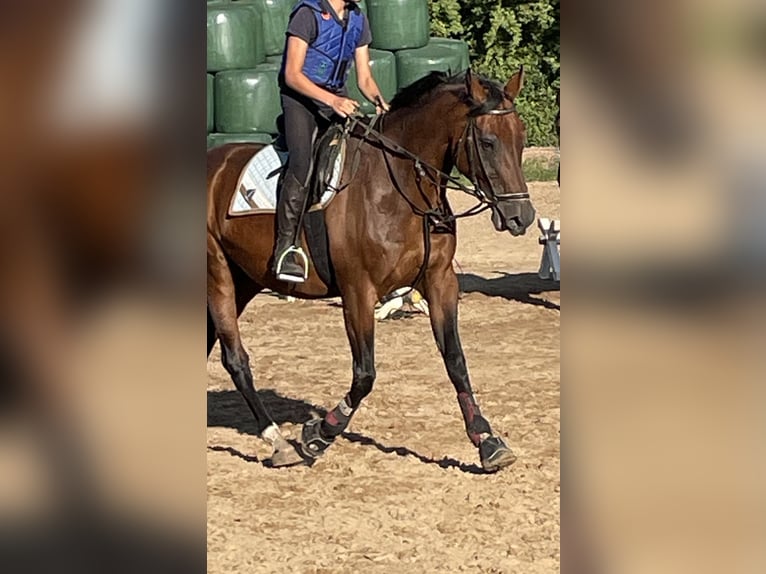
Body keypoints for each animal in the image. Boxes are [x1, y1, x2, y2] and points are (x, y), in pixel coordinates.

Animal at [207, 68, 536, 472]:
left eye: (521, 138)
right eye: (488, 142)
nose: (522, 217)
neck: (401, 188)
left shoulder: (440, 281)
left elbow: (456, 360)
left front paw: (487, 441)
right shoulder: (358, 292)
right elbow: (364, 374)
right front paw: (318, 435)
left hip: (245, 279)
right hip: (219, 275)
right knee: (235, 359)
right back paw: (278, 441)